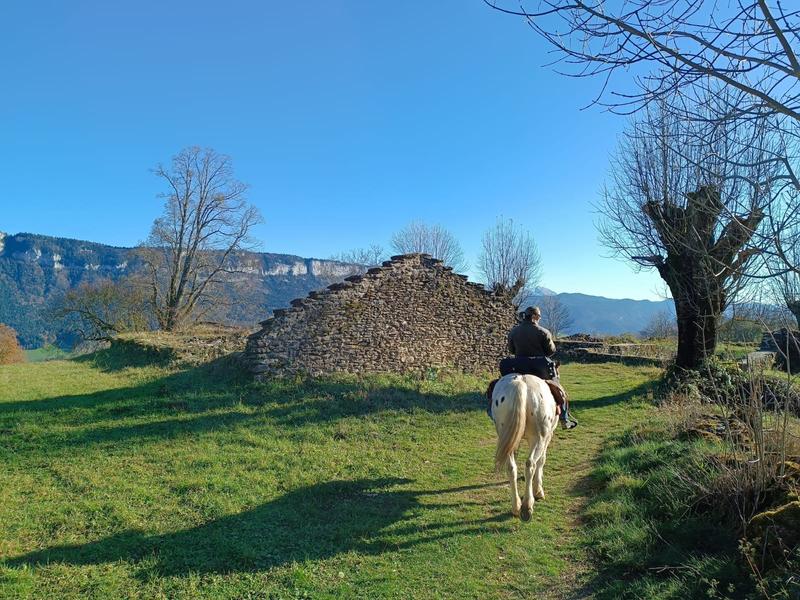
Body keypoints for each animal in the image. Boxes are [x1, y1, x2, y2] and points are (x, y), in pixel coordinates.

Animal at [490, 373, 560, 521]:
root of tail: (521, 382)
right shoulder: (547, 436)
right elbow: (541, 461)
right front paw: (538, 491)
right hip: (539, 438)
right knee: (530, 464)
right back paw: (527, 506)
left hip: (506, 436)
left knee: (511, 467)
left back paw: (516, 507)